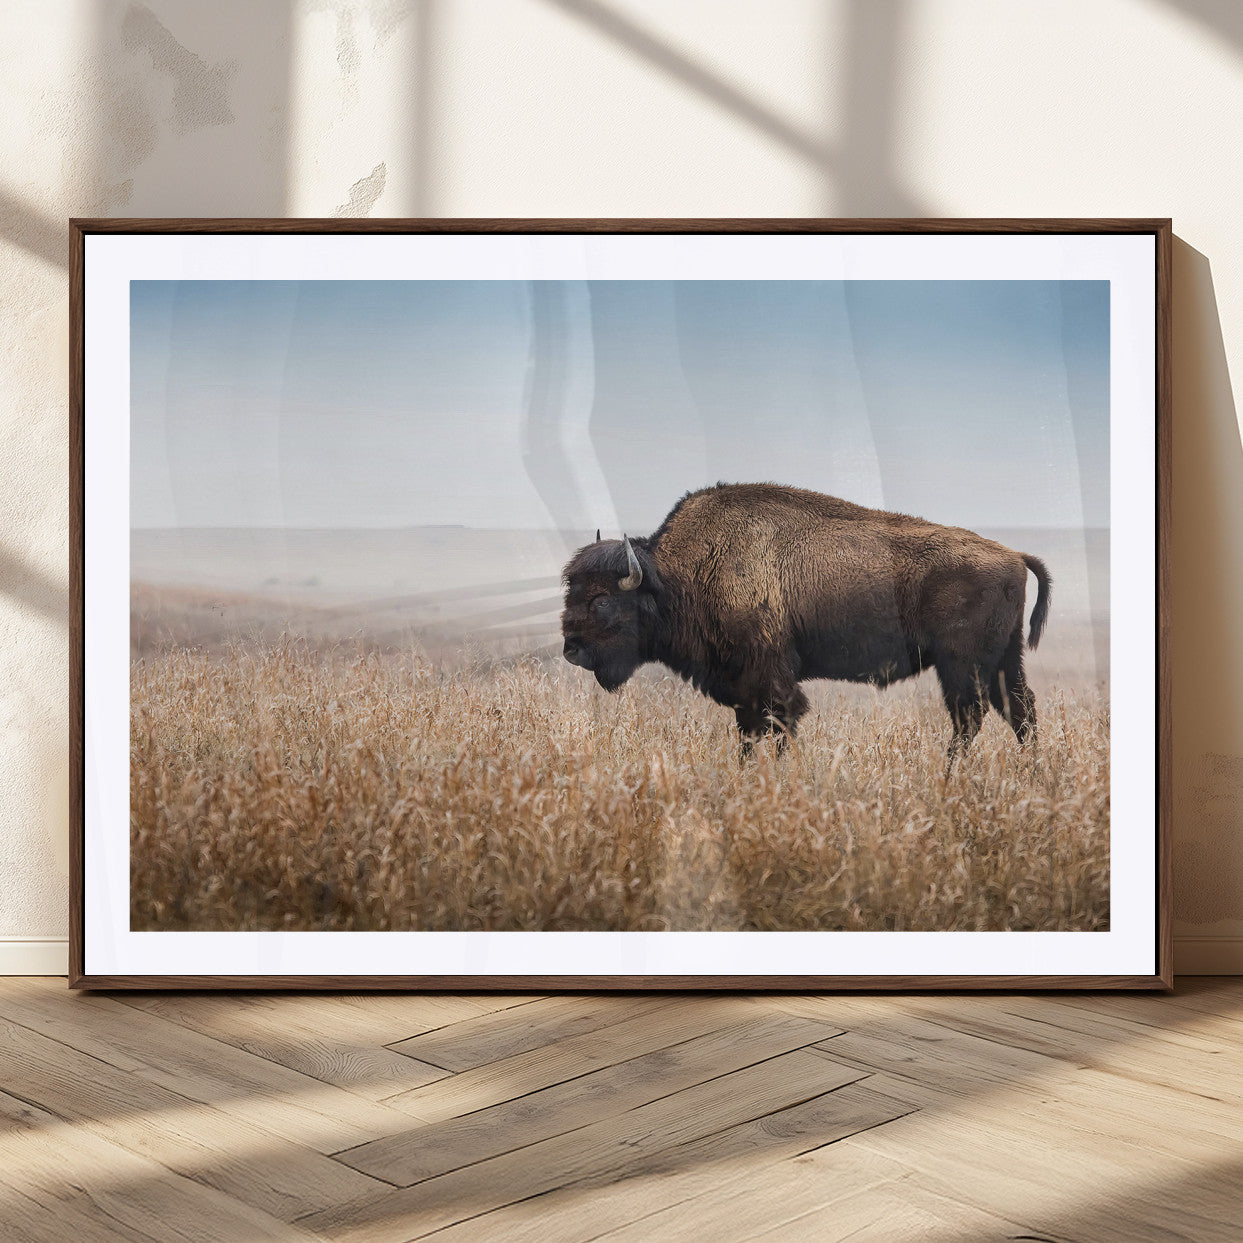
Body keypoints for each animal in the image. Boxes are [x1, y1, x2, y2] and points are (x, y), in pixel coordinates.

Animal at [560, 483, 1051, 759]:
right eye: (571, 591)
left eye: (602, 600)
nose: (571, 649)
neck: (677, 575)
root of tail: (1013, 555)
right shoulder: (744, 690)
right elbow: (749, 735)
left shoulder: (770, 681)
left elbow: (778, 726)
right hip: (1003, 661)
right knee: (1020, 712)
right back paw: (1032, 775)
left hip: (962, 666)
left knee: (970, 718)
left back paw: (950, 776)